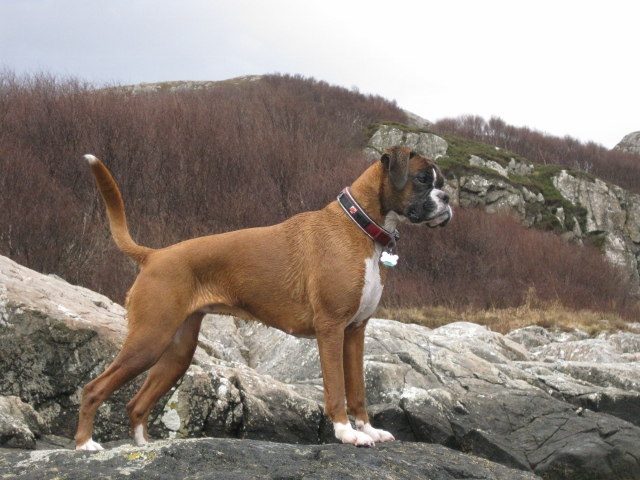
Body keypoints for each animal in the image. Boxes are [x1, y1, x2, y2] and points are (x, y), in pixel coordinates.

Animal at [75, 145, 450, 450]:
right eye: (421, 179)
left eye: (441, 181)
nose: (446, 199)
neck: (360, 226)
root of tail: (154, 255)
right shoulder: (331, 330)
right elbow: (336, 389)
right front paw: (347, 434)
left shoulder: (355, 333)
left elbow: (358, 390)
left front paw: (368, 431)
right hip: (149, 340)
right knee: (94, 388)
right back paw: (85, 445)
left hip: (176, 351)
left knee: (136, 403)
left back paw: (143, 446)